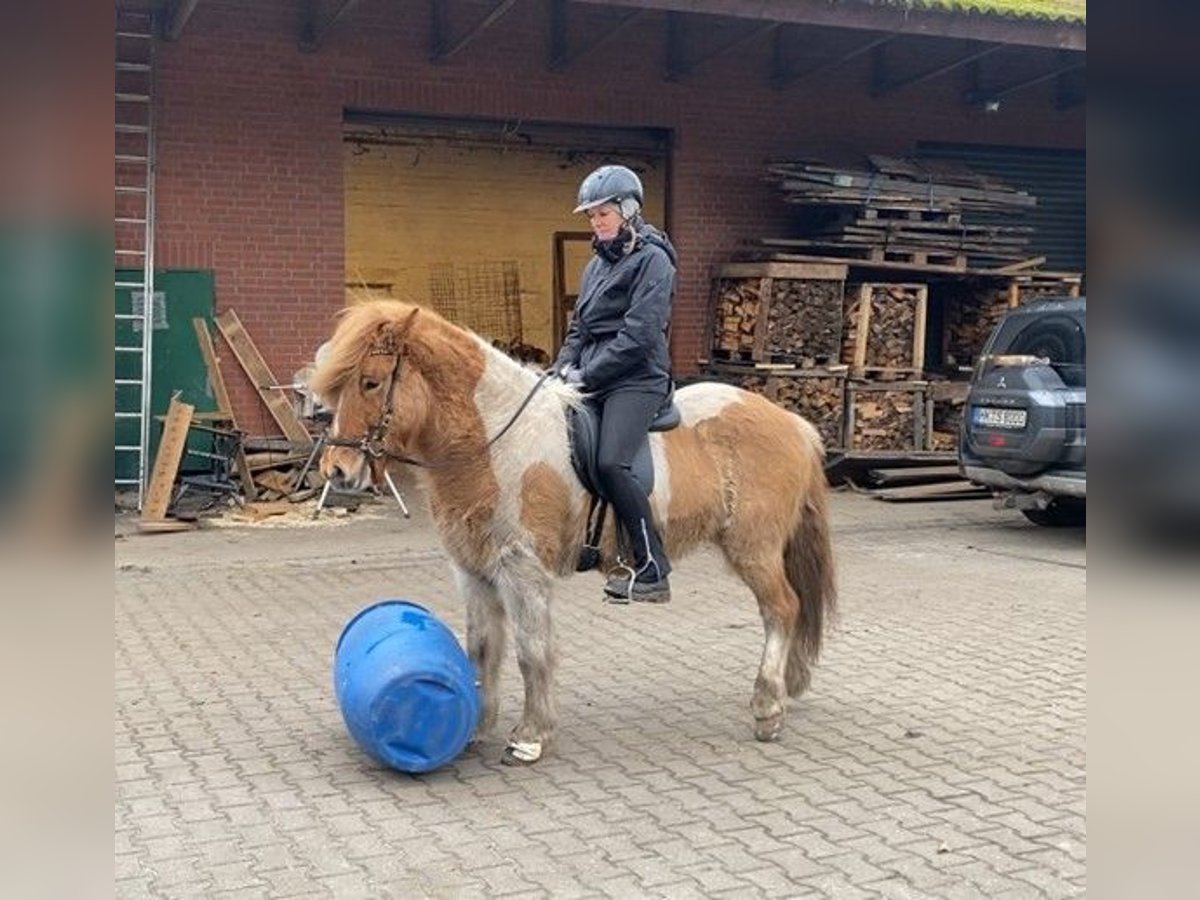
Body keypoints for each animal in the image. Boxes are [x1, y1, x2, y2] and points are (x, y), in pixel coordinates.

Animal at [312, 303, 835, 768]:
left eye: (370, 381)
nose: (337, 471)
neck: (495, 441)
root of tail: (793, 423)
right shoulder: (473, 571)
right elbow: (481, 648)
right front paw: (477, 727)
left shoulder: (523, 570)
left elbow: (532, 650)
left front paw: (530, 737)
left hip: (754, 550)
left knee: (782, 609)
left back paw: (768, 708)